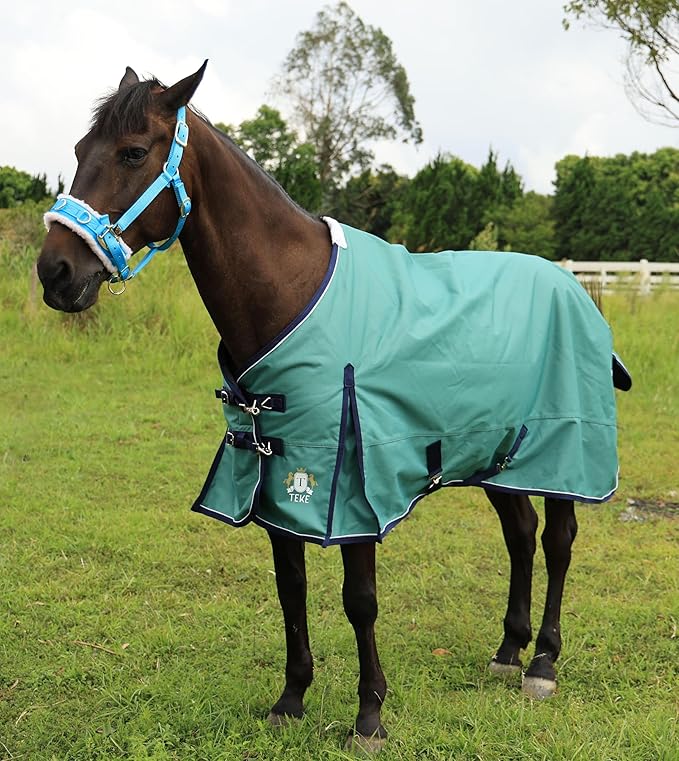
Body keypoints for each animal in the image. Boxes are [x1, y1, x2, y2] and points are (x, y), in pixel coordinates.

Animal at [37, 62, 630, 752]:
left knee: (558, 539)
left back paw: (543, 665)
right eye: (81, 150)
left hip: (563, 453)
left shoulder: (350, 487)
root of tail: (575, 286)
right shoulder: (276, 475)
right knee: (521, 534)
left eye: (133, 152)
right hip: (496, 454)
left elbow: (359, 599)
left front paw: (369, 715)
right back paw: (509, 652)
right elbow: (290, 590)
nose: (55, 272)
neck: (289, 292)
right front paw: (291, 699)